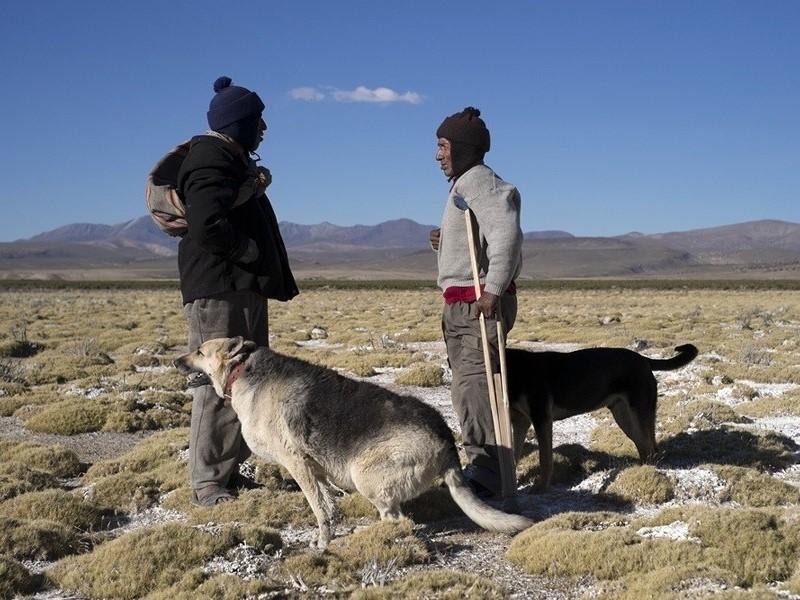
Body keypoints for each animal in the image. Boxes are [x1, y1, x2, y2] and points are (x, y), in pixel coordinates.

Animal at [178, 338, 536, 548]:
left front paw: (324, 542)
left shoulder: (297, 463)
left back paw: (372, 536)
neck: (242, 372)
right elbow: (328, 504)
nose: (175, 362)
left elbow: (319, 508)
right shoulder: (315, 469)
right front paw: (329, 532)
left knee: (398, 521)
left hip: (364, 474)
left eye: (200, 352)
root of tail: (446, 438)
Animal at [510, 342, 696, 488]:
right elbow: (514, 455)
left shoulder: (541, 420)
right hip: (625, 417)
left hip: (636, 414)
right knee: (646, 447)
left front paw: (541, 487)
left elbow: (545, 459)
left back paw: (645, 473)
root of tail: (643, 360)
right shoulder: (520, 423)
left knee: (648, 448)